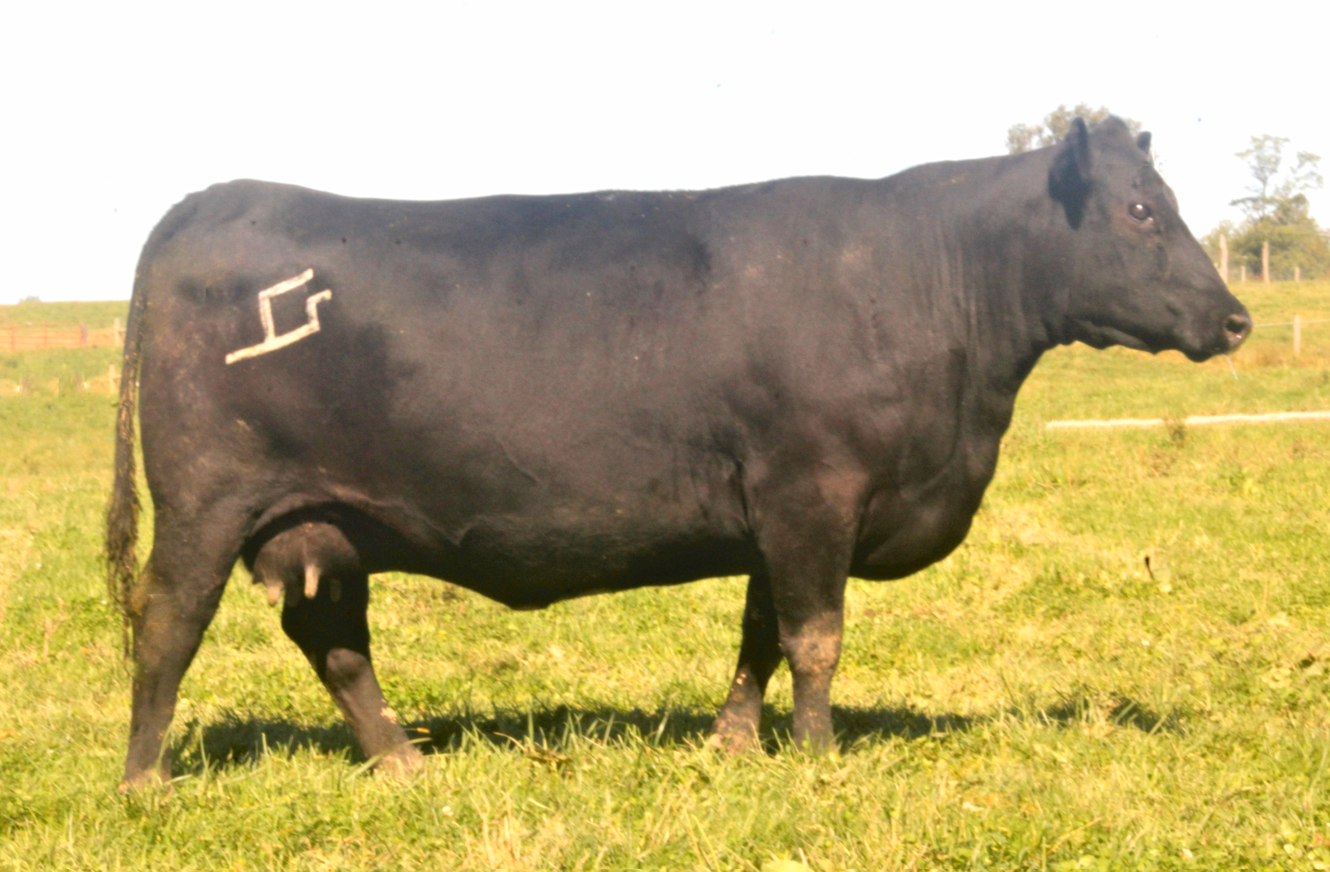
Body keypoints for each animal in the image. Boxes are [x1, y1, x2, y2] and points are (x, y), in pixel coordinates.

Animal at [106, 117, 1250, 787]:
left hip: (323, 521)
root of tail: (213, 197)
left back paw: (400, 762)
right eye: (1142, 210)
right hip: (207, 500)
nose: (1235, 318)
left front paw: (736, 742)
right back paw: (145, 781)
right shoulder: (812, 490)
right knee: (167, 625)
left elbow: (759, 634)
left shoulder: (776, 507)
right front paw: (819, 758)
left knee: (334, 638)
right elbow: (815, 638)